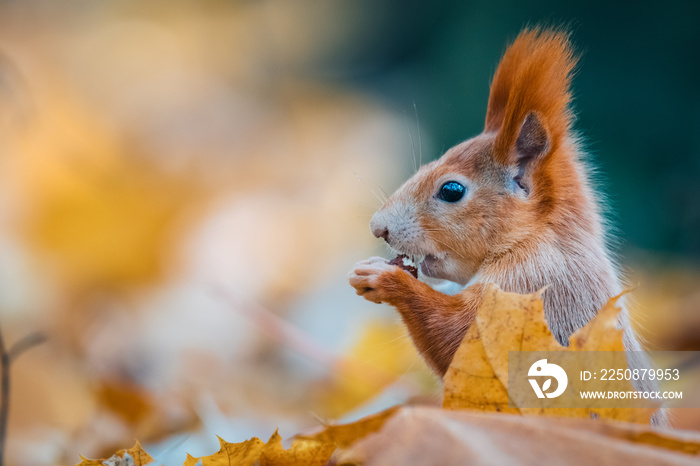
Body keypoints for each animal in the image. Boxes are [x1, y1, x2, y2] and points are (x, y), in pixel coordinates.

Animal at [350, 29, 668, 428]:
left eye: (451, 190)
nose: (378, 228)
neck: (534, 237)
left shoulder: (536, 287)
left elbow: (460, 340)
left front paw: (385, 279)